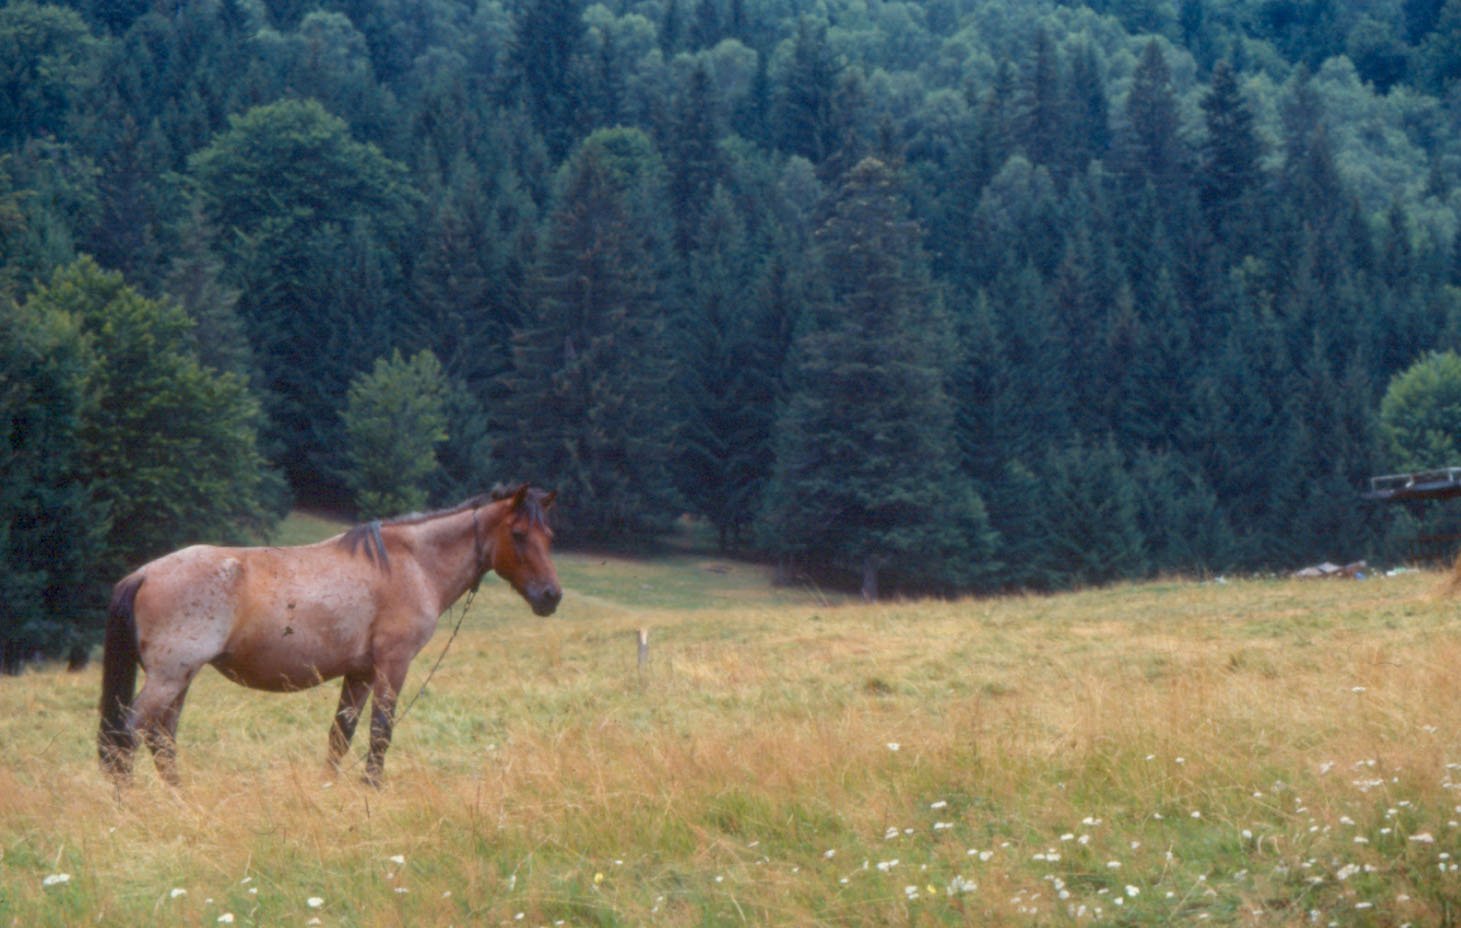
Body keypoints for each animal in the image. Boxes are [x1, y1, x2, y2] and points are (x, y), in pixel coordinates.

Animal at [97, 482, 561, 789]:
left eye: (549, 535)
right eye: (518, 534)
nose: (551, 596)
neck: (411, 563)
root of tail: (143, 574)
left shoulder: (360, 672)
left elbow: (341, 735)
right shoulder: (392, 665)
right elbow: (380, 732)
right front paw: (372, 788)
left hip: (180, 679)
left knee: (160, 740)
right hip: (169, 678)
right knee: (125, 736)